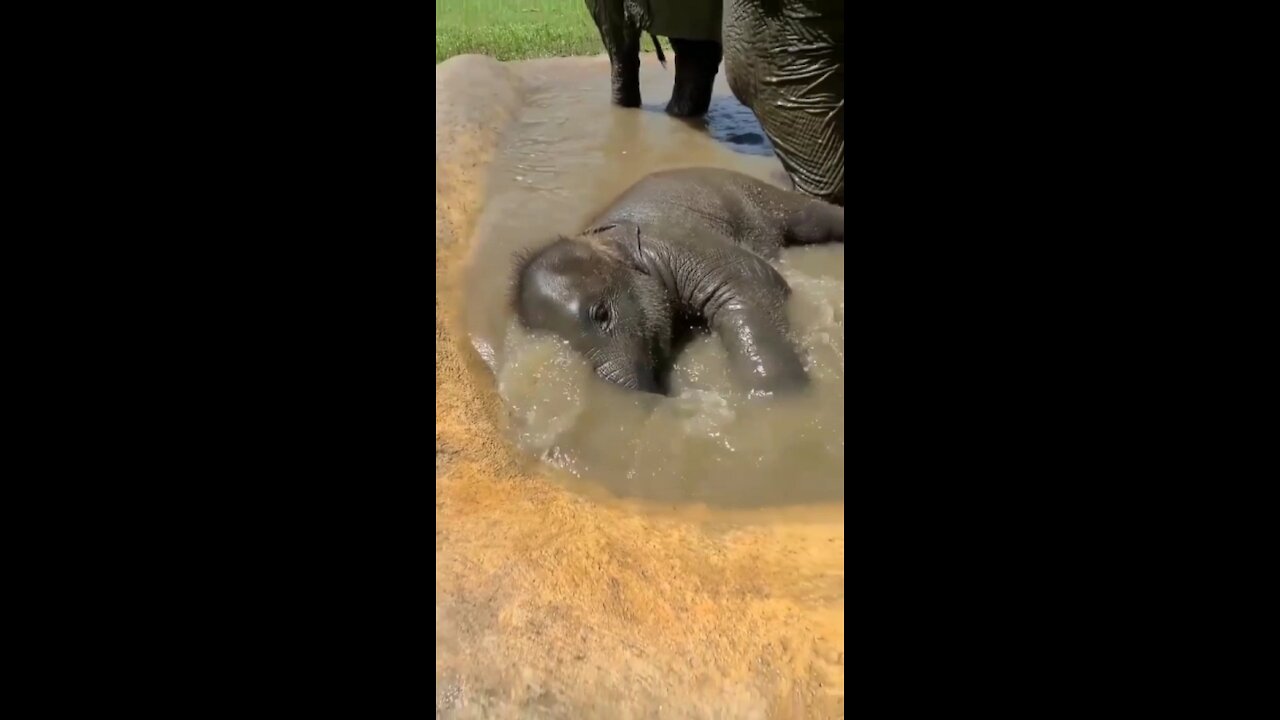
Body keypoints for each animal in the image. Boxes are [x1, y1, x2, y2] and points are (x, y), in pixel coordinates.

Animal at [509, 166, 839, 394]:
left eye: (601, 314)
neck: (602, 240)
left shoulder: (678, 243)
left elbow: (754, 282)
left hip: (754, 194)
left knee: (813, 217)